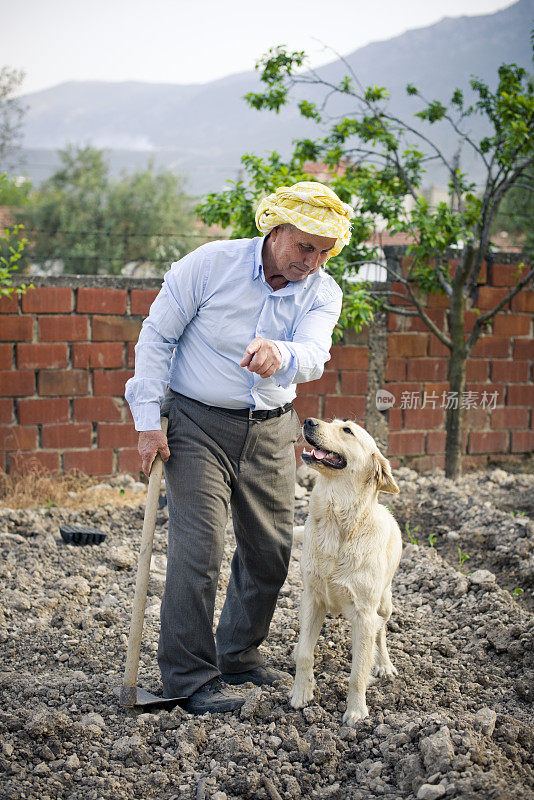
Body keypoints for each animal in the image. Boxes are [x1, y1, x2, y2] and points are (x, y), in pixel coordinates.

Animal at [294, 418, 402, 724]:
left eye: (347, 430)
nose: (308, 421)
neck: (336, 522)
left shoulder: (364, 614)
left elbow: (358, 672)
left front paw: (356, 711)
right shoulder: (312, 598)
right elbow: (305, 653)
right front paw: (300, 694)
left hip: (384, 603)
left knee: (381, 632)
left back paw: (384, 665)